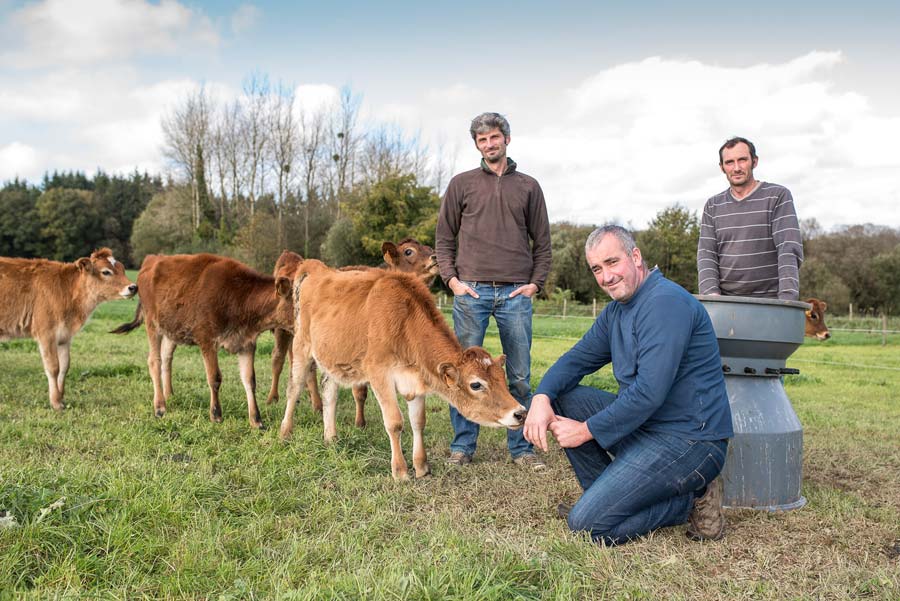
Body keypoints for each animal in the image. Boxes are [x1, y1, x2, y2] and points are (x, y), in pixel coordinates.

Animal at [0, 247, 137, 408]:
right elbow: (53, 367)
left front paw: (61, 398)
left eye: (122, 269)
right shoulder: (46, 333)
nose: (133, 287)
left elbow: (64, 366)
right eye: (106, 272)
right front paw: (55, 402)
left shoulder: (65, 336)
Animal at [112, 251, 300, 428]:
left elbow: (249, 380)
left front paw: (256, 420)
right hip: (152, 324)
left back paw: (169, 395)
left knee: (166, 358)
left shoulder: (246, 343)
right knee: (154, 361)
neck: (240, 296)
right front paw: (216, 415)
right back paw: (160, 406)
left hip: (171, 330)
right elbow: (214, 377)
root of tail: (152, 259)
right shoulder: (207, 339)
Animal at [264, 237, 440, 428]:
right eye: (409, 251)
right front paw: (360, 422)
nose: (434, 257)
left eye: (429, 247)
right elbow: (360, 391)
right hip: (283, 331)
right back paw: (273, 398)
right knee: (278, 359)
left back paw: (315, 403)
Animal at [278, 260, 524, 480]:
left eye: (502, 379)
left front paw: (422, 467)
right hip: (301, 345)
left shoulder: (415, 381)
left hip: (332, 357)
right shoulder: (379, 374)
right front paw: (401, 471)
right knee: (294, 388)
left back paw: (331, 438)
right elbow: (395, 422)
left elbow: (418, 422)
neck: (405, 322)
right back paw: (285, 433)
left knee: (329, 392)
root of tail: (318, 267)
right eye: (476, 384)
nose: (520, 412)